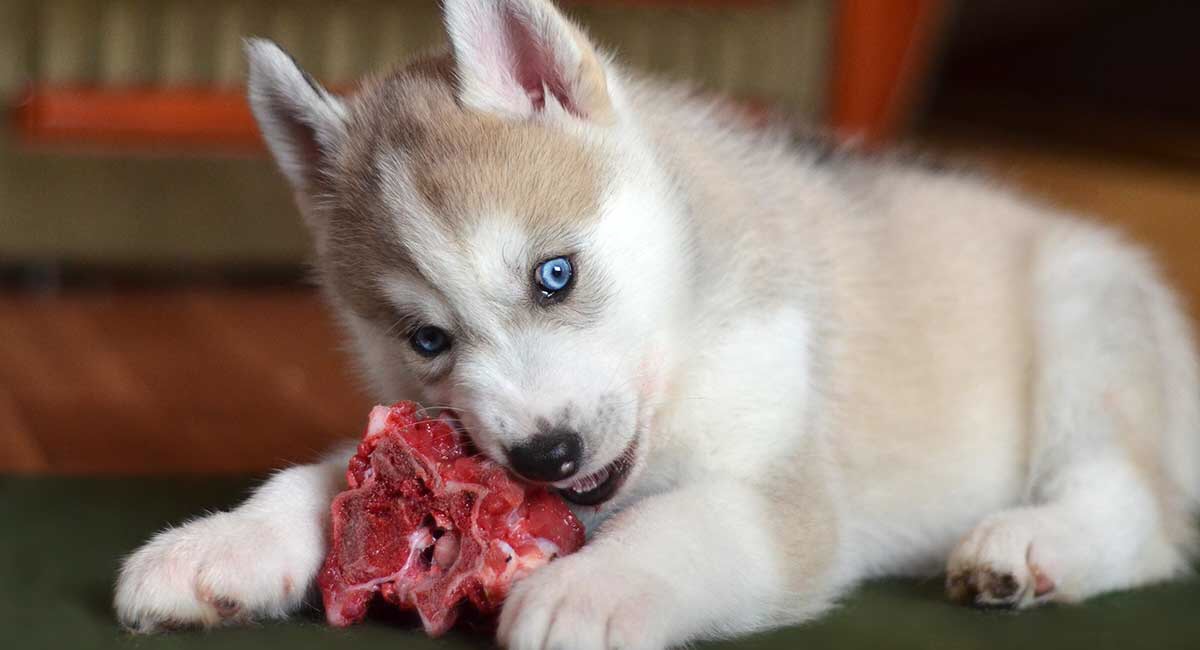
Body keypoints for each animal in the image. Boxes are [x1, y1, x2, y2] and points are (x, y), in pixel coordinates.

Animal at [114, 1, 1200, 647]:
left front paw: (587, 592)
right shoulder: (428, 436)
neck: (681, 346)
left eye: (554, 275)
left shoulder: (785, 497)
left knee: (1140, 513)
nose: (546, 454)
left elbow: (682, 521)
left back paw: (1029, 545)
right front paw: (220, 544)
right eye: (427, 340)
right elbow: (329, 473)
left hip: (1085, 323)